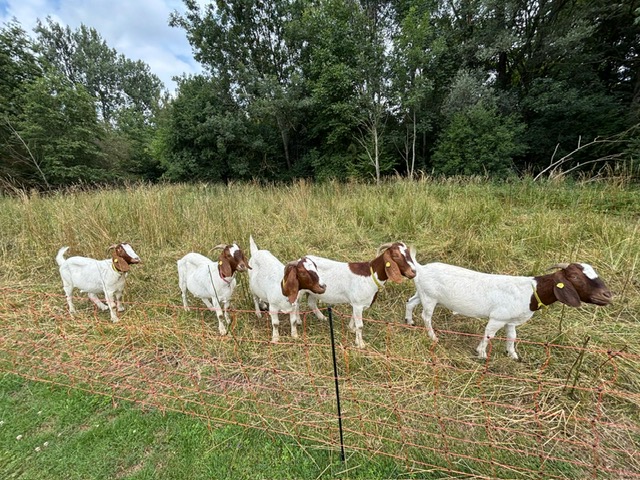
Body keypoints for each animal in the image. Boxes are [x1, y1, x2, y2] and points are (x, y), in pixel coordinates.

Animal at [404, 261, 613, 360]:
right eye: (575, 277)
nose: (607, 295)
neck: (530, 291)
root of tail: (421, 268)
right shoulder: (498, 318)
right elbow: (489, 335)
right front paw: (481, 354)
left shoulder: (511, 321)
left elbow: (512, 337)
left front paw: (512, 355)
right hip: (430, 298)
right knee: (426, 316)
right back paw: (433, 337)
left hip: (422, 293)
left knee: (410, 302)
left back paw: (409, 321)